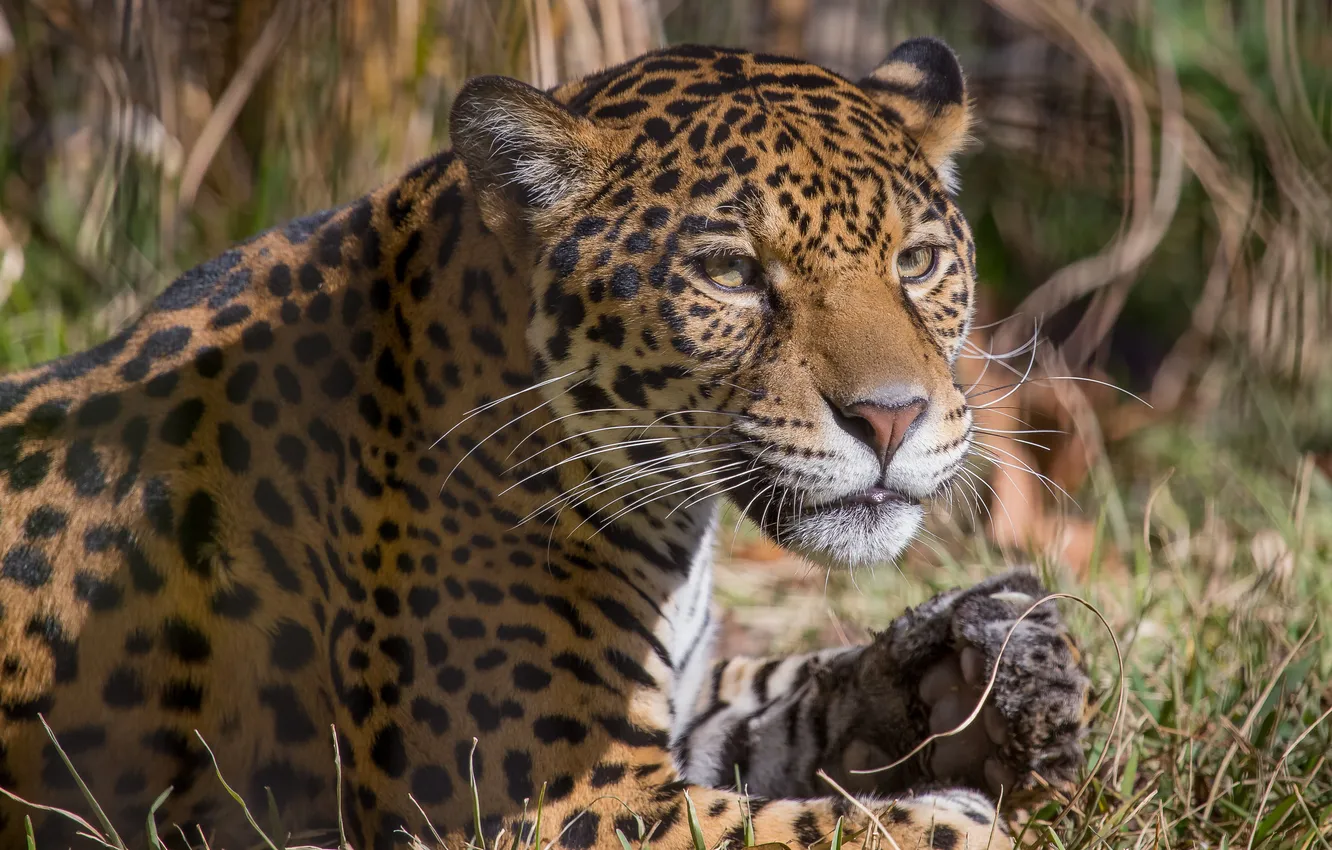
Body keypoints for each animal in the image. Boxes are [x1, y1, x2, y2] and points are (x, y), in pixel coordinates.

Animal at [0, 39, 1091, 850]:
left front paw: (970, 673)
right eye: (731, 273)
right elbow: (812, 830)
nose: (891, 417)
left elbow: (785, 694)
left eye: (917, 260)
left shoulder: (675, 714)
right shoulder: (554, 802)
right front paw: (951, 810)